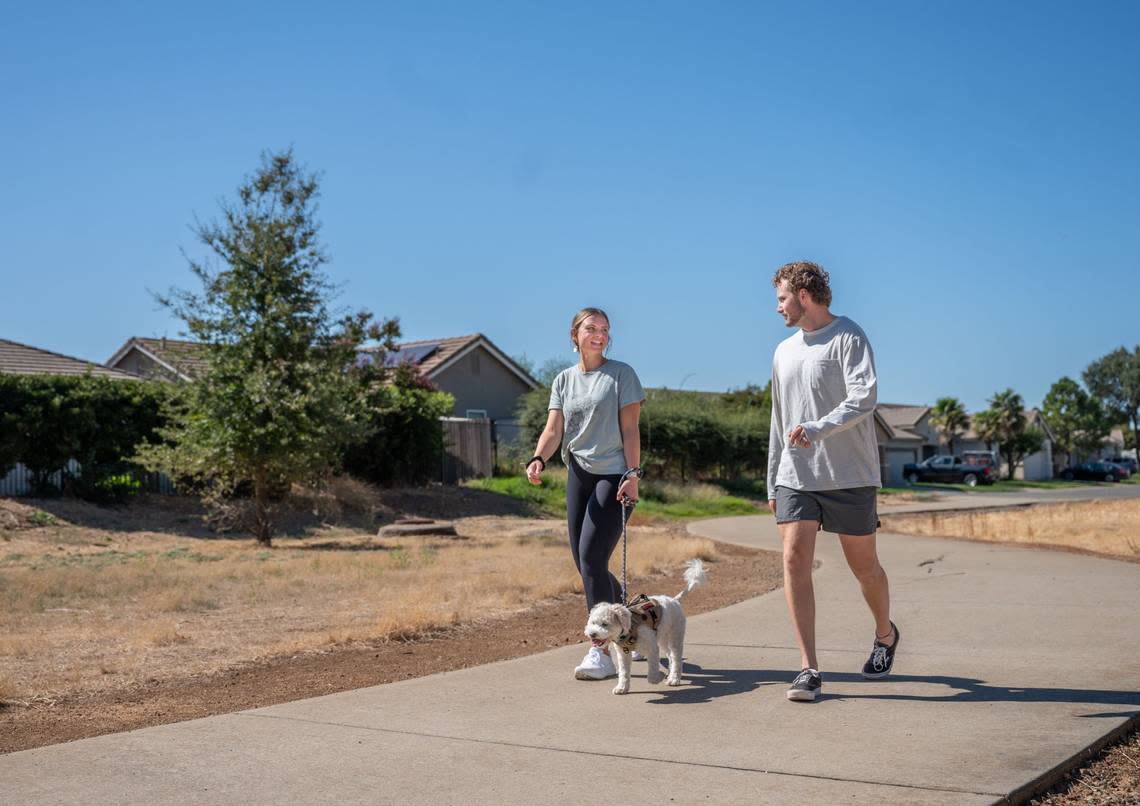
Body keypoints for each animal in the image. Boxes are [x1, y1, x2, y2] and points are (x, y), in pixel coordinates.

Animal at [588, 560, 702, 693]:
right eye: (593, 623)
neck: (630, 628)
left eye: (605, 624)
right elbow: (624, 672)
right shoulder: (623, 655)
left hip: (675, 637)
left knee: (676, 657)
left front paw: (657, 677)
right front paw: (622, 687)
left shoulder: (652, 648)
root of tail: (674, 600)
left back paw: (674, 678)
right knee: (670, 656)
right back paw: (671, 674)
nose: (592, 634)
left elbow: (652, 671)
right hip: (663, 638)